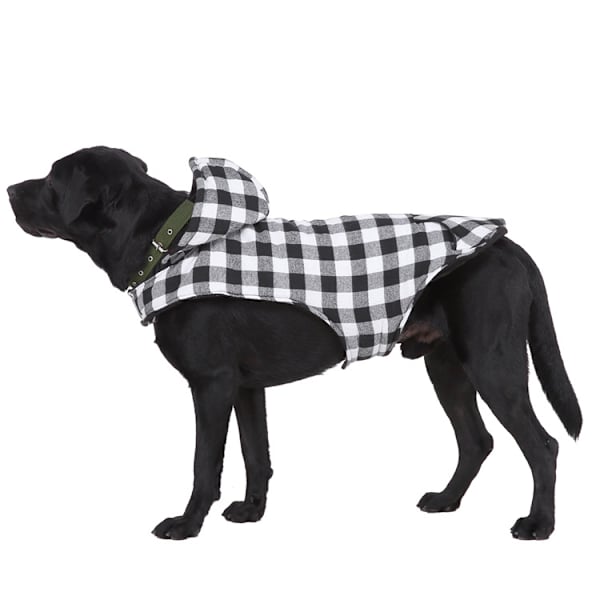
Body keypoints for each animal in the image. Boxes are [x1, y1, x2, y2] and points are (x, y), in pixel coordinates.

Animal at [8, 146, 581, 541]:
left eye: (53, 177)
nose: (10, 189)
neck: (169, 240)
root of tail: (507, 244)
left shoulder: (210, 384)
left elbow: (204, 463)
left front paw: (188, 525)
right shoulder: (244, 387)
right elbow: (255, 453)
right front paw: (250, 512)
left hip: (492, 363)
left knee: (542, 445)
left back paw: (538, 525)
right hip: (446, 365)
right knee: (477, 441)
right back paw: (445, 501)